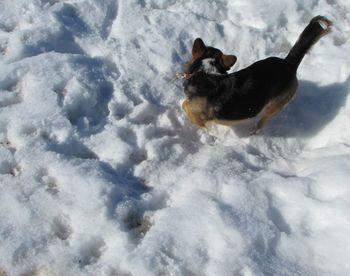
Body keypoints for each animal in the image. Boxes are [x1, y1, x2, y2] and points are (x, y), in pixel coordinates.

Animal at [182, 15, 332, 134]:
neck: (205, 72)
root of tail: (288, 63)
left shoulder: (197, 113)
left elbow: (185, 105)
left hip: (273, 108)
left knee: (262, 122)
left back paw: (252, 132)